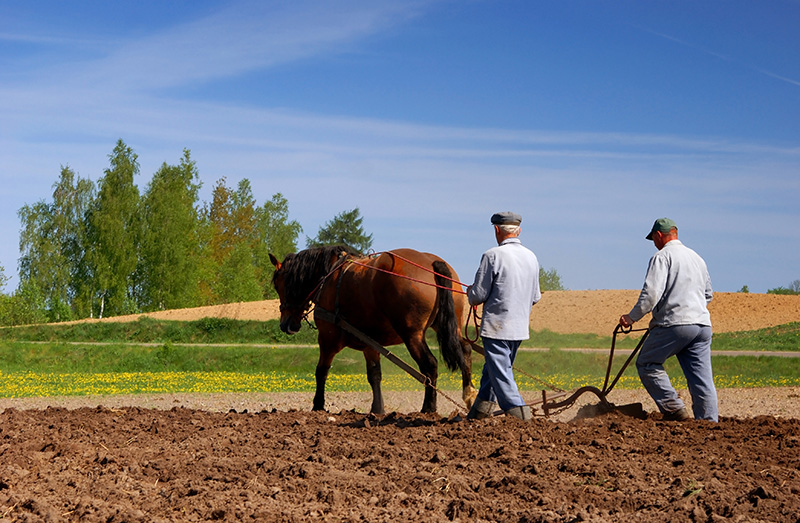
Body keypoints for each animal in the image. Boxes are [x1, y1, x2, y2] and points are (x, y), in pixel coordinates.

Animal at [272, 248, 478, 416]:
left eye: (278, 284)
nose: (285, 324)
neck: (330, 276)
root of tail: (432, 262)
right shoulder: (369, 343)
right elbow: (374, 375)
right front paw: (377, 409)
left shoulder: (327, 339)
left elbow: (321, 371)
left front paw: (318, 405)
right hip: (450, 326)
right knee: (465, 351)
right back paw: (469, 396)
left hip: (412, 335)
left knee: (430, 365)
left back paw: (428, 407)